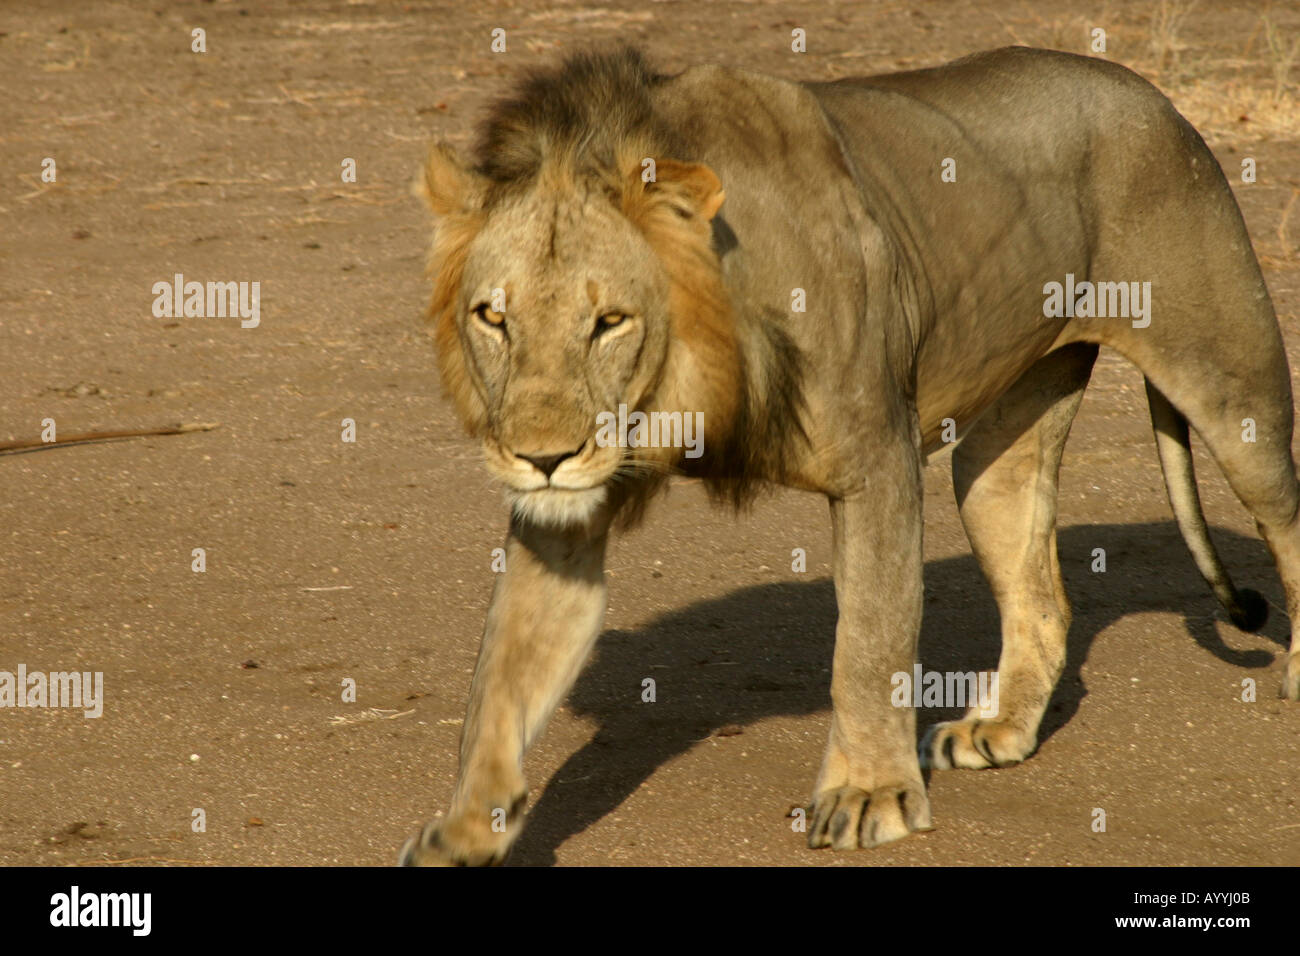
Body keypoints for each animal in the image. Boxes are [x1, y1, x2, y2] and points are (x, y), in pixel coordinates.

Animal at [401, 46, 1300, 865]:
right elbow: (502, 677)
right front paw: (464, 829)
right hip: (998, 455)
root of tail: (1153, 95)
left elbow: (869, 640)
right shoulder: (563, 521)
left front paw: (870, 795)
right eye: (493, 317)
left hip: (1231, 387)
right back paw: (997, 729)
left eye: (610, 321)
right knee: (1043, 595)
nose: (541, 458)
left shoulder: (879, 460)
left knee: (1284, 515)